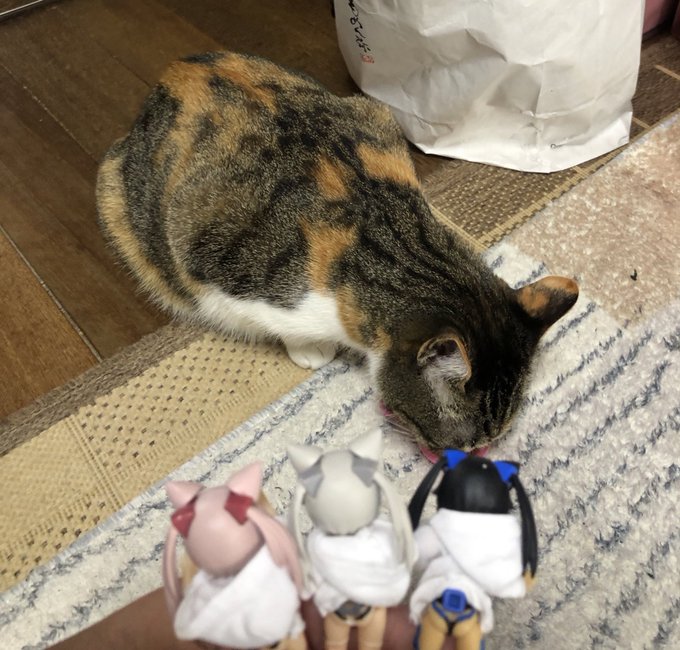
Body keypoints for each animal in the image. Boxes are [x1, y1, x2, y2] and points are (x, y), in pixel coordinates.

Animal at [96, 51, 579, 453]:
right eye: (461, 442)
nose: (477, 453)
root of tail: (177, 67)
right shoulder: (223, 271)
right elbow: (277, 322)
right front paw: (309, 350)